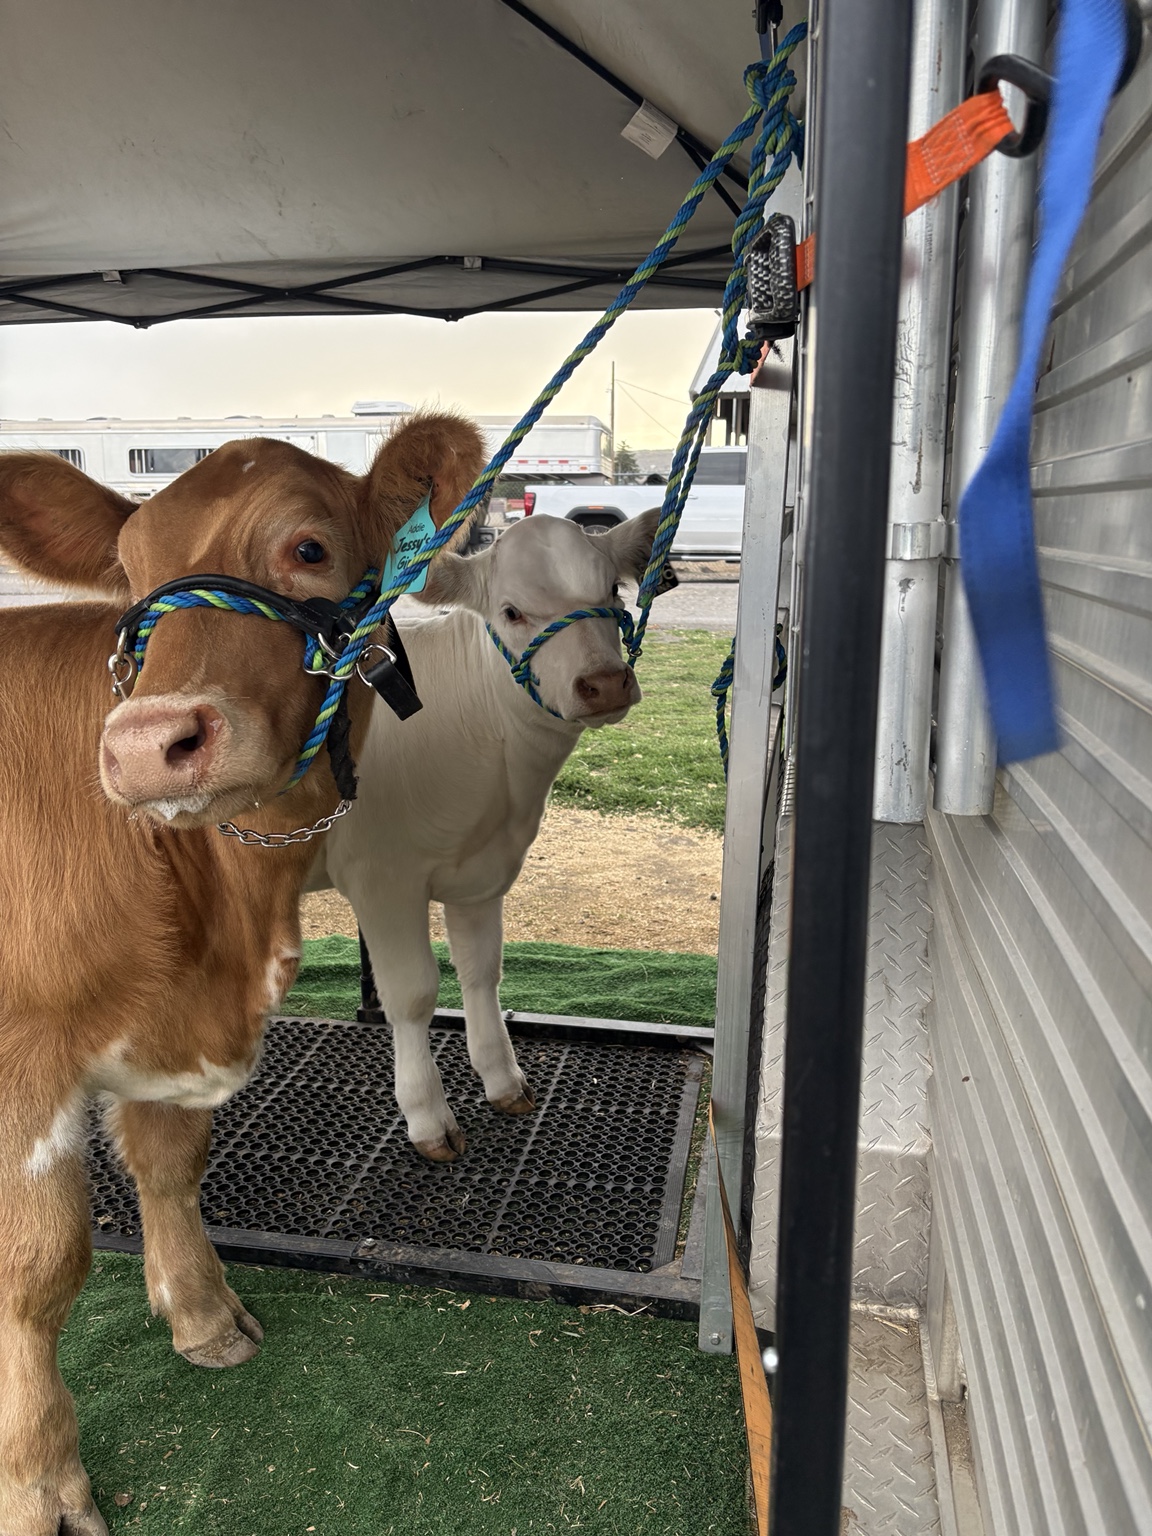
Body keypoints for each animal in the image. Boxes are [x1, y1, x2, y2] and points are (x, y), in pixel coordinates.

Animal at [0, 415, 484, 1536]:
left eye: (309, 548)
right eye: (130, 572)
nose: (146, 746)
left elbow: (172, 1165)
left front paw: (204, 1315)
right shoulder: (23, 1052)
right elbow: (40, 1268)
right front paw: (38, 1483)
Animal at [308, 509, 660, 1161]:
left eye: (612, 592)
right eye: (512, 612)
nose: (605, 683)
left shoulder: (481, 873)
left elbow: (481, 971)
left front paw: (503, 1079)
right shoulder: (382, 879)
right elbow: (414, 994)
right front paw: (428, 1116)